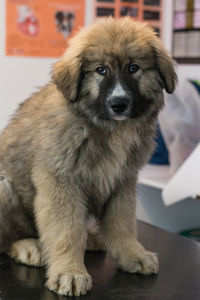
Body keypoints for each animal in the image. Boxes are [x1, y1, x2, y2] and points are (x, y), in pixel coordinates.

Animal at [0, 17, 177, 296]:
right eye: (101, 70)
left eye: (134, 68)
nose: (119, 104)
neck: (109, 128)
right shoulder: (61, 181)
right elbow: (66, 231)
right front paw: (69, 272)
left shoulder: (123, 182)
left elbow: (123, 223)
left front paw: (133, 254)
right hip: (5, 185)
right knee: (7, 240)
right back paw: (28, 247)